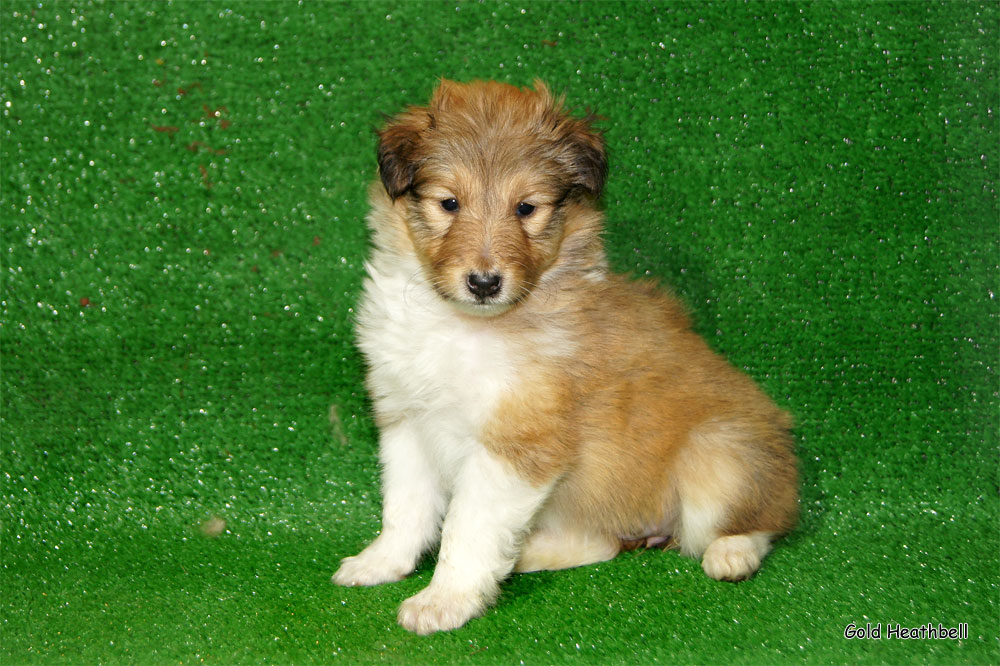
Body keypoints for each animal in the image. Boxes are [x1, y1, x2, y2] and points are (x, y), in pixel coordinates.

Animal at [332, 79, 800, 632]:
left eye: (526, 208)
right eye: (449, 202)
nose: (485, 283)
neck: (465, 326)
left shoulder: (518, 442)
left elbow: (466, 529)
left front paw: (443, 601)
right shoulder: (405, 420)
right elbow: (405, 508)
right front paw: (380, 563)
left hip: (719, 457)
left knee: (766, 521)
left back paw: (733, 553)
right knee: (602, 543)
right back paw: (525, 555)